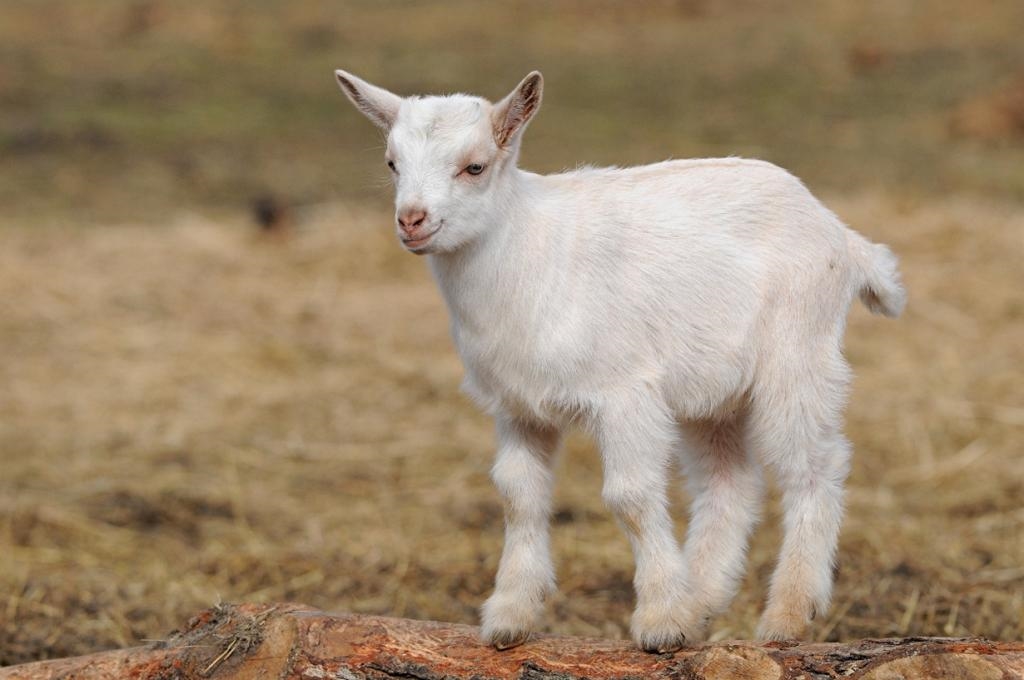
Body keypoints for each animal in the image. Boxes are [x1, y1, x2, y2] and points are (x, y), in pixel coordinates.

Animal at [333, 70, 905, 655]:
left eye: (475, 166)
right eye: (392, 163)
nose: (412, 221)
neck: (525, 252)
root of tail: (844, 238)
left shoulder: (624, 393)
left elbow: (629, 496)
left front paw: (659, 622)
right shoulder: (518, 408)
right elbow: (519, 497)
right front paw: (511, 616)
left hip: (797, 355)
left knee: (814, 467)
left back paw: (786, 615)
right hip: (712, 390)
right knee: (729, 482)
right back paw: (699, 599)